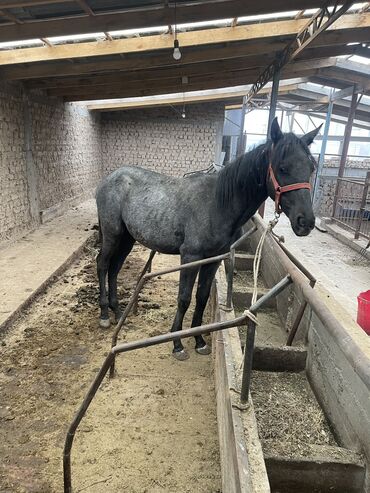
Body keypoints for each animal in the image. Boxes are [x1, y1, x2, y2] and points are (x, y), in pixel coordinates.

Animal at [97, 117, 320, 360]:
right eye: (282, 167)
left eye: (311, 168)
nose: (306, 221)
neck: (218, 204)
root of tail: (109, 179)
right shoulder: (191, 257)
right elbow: (184, 298)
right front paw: (177, 344)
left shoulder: (213, 259)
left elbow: (202, 297)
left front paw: (199, 340)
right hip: (112, 235)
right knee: (103, 265)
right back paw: (104, 315)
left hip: (126, 239)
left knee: (114, 268)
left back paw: (117, 311)